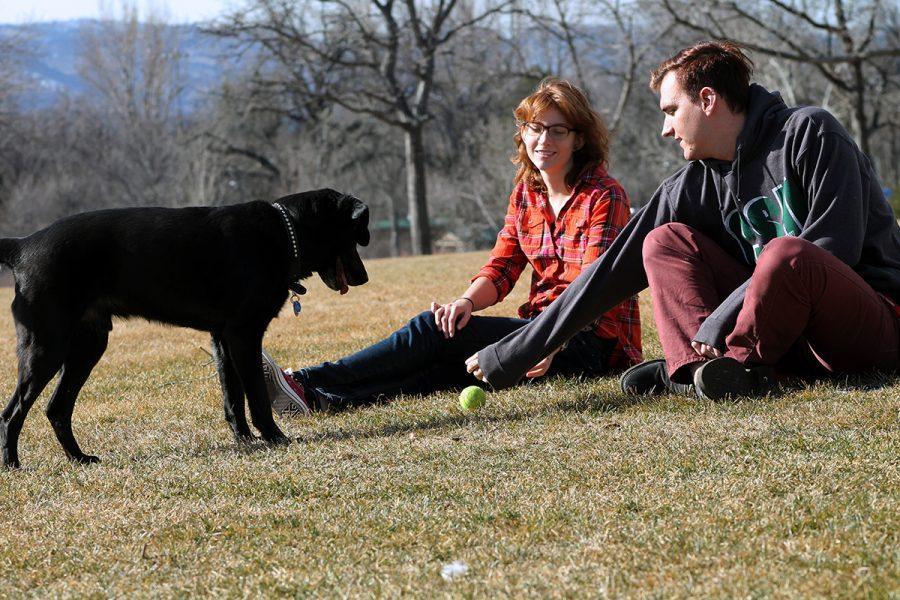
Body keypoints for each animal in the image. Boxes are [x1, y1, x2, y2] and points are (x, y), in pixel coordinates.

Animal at [0, 188, 370, 468]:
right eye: (355, 236)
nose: (364, 277)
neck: (282, 232)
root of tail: (22, 245)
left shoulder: (223, 338)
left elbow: (232, 396)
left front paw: (244, 440)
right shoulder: (244, 335)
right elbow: (256, 396)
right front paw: (274, 437)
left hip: (86, 346)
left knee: (56, 408)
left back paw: (80, 459)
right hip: (47, 346)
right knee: (12, 413)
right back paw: (13, 465)